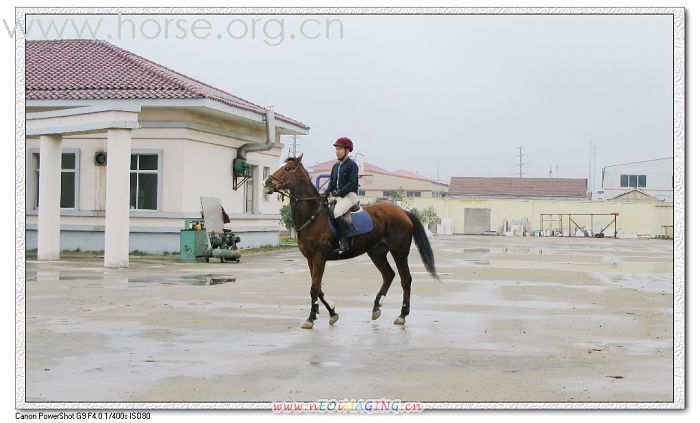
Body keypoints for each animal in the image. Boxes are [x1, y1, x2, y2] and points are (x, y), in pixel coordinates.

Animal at [262, 154, 438, 330]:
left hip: (399, 252)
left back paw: (402, 315)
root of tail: (403, 212)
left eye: (287, 168)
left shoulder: (319, 257)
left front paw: (311, 318)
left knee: (405, 279)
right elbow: (318, 287)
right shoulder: (310, 259)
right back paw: (376, 308)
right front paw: (332, 312)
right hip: (377, 253)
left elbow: (314, 288)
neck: (313, 216)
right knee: (389, 275)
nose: (267, 182)